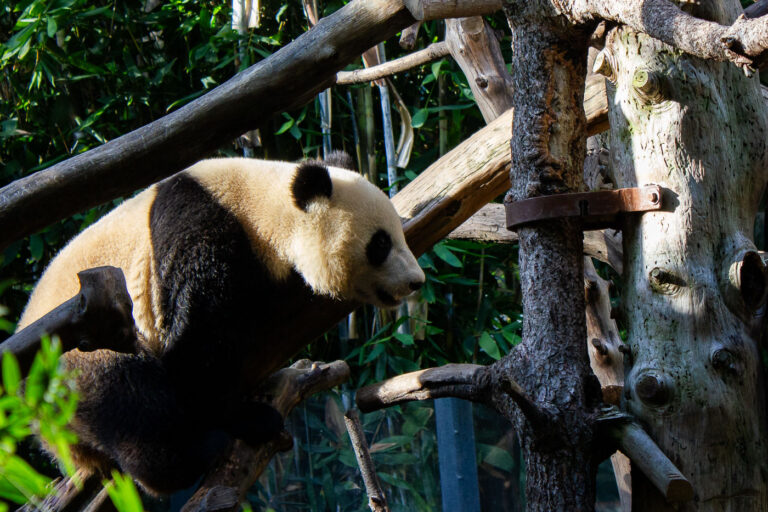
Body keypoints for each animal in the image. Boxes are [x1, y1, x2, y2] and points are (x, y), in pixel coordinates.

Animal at [16, 152, 425, 494]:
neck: (263, 206)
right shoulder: (204, 234)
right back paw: (188, 458)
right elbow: (197, 349)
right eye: (380, 243)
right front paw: (248, 417)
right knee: (130, 400)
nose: (416, 281)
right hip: (80, 353)